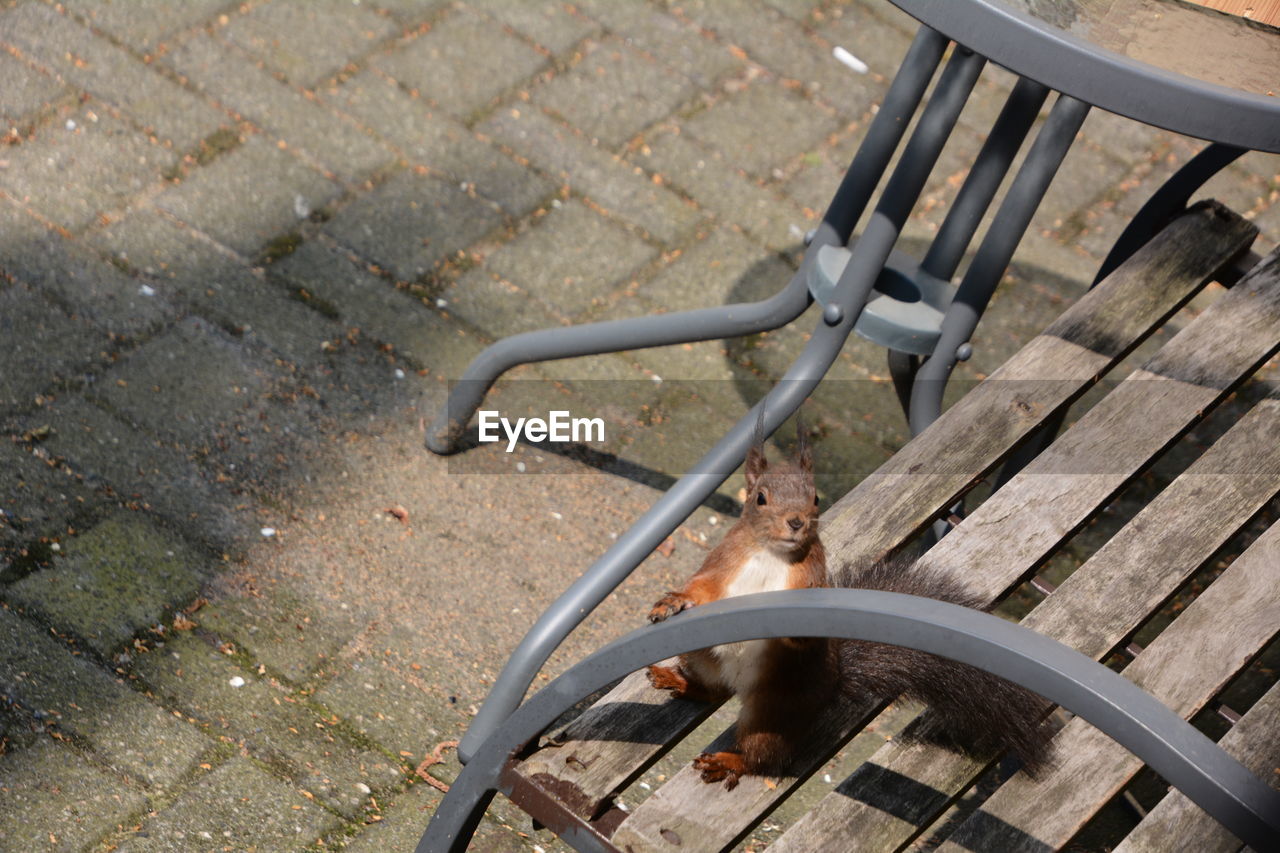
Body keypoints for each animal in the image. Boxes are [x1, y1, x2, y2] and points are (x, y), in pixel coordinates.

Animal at [645, 422, 1054, 788]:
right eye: (760, 497)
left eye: (815, 498)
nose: (796, 522)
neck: (772, 555)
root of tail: (832, 684)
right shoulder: (724, 563)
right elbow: (703, 587)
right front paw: (673, 601)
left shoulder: (810, 579)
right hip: (703, 655)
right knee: (713, 690)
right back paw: (677, 679)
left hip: (773, 711)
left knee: (766, 757)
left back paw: (730, 762)